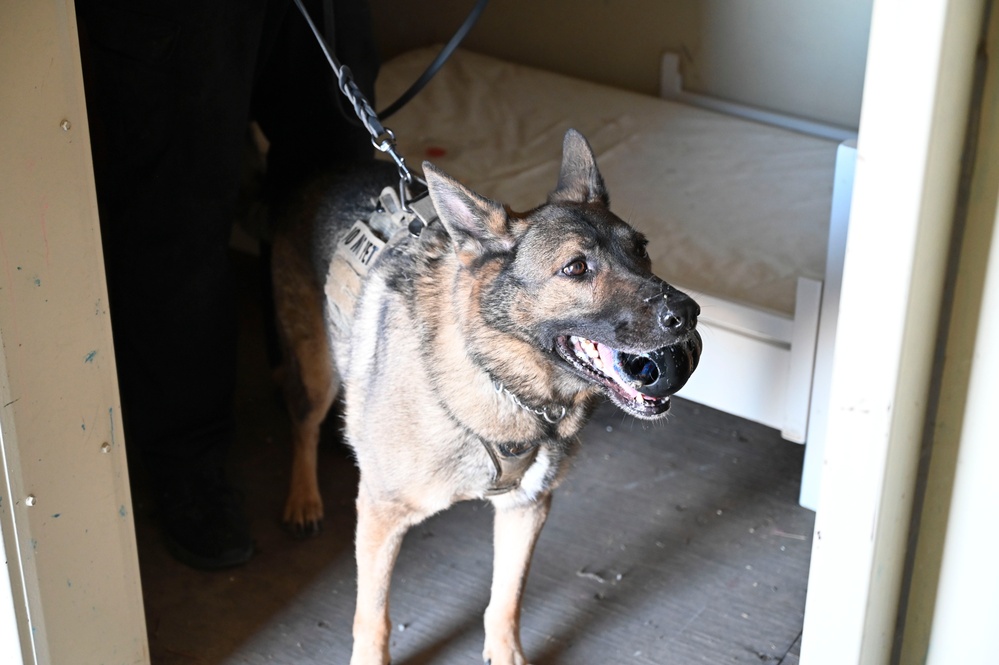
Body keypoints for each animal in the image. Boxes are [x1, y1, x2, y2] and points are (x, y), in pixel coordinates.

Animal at [270, 131, 700, 664]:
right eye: (576, 268)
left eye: (641, 250)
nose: (689, 312)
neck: (501, 381)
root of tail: (319, 174)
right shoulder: (379, 515)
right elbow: (373, 617)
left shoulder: (527, 509)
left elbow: (507, 598)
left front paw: (505, 651)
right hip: (317, 372)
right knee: (303, 422)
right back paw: (304, 499)